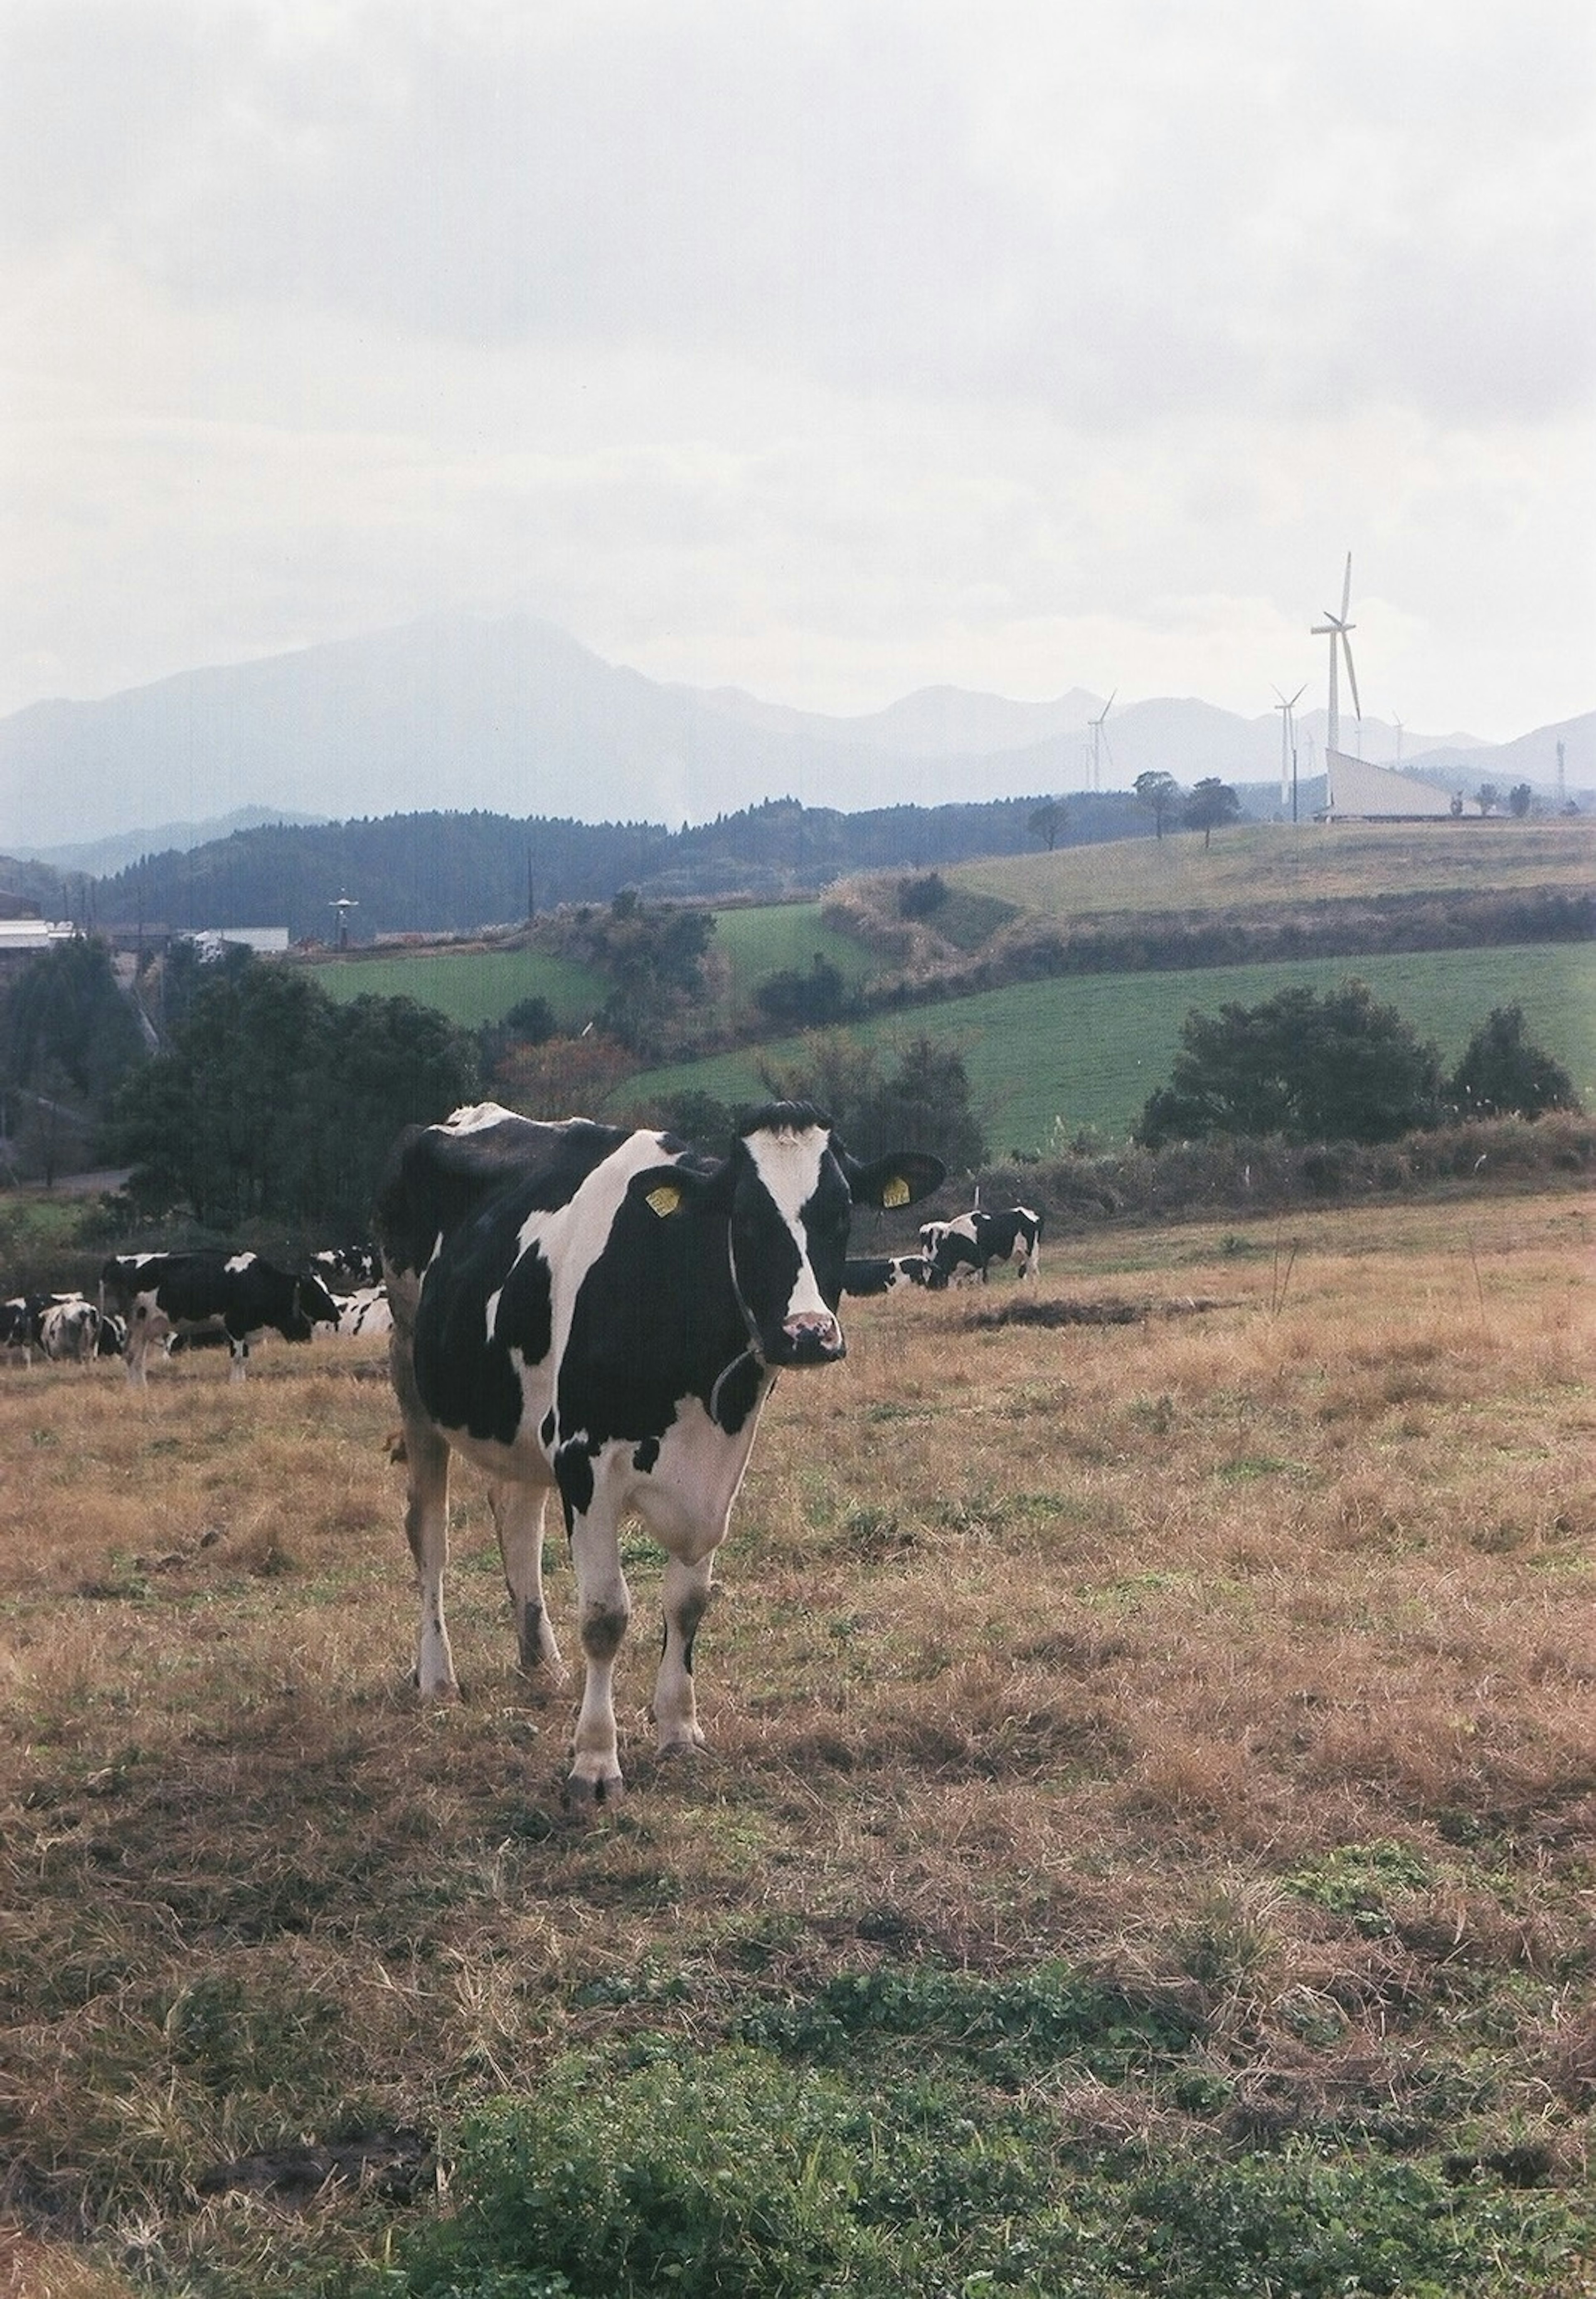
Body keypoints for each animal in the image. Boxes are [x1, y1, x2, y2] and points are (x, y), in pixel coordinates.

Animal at [98, 1259, 345, 1379]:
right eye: (316, 1291)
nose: (338, 1314)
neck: (254, 1280)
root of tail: (116, 1262)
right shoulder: (235, 1325)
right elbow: (238, 1358)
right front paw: (236, 1386)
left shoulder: (244, 1329)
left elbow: (244, 1358)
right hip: (134, 1325)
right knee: (132, 1356)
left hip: (144, 1329)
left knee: (137, 1359)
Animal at [920, 1214, 1044, 1287]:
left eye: (934, 1279)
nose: (930, 1288)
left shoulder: (981, 1261)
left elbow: (982, 1280)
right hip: (1022, 1256)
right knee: (1024, 1273)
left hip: (1031, 1254)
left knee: (1034, 1273)